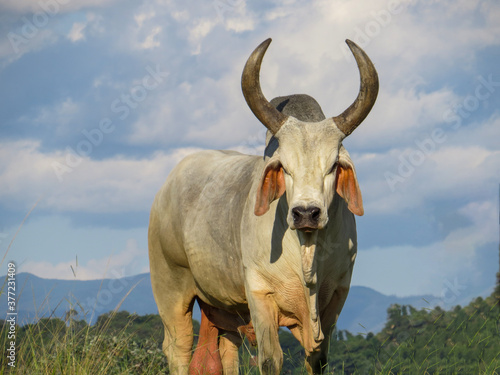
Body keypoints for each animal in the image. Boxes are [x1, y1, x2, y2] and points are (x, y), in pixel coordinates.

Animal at [148, 39, 378, 375]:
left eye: (334, 165)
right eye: (283, 166)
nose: (306, 213)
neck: (306, 252)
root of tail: (166, 187)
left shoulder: (337, 295)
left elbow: (317, 360)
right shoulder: (259, 294)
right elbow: (271, 360)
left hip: (222, 310)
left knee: (221, 354)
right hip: (170, 286)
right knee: (178, 349)